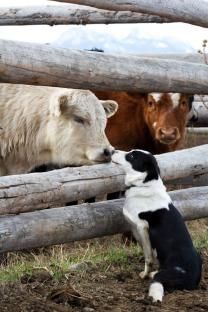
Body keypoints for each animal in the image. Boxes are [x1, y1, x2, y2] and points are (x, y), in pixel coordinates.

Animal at [112, 151, 202, 302]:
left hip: (165, 275)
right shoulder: (135, 229)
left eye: (131, 156)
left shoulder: (141, 227)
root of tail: (191, 280)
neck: (144, 185)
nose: (112, 151)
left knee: (157, 283)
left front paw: (144, 275)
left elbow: (148, 257)